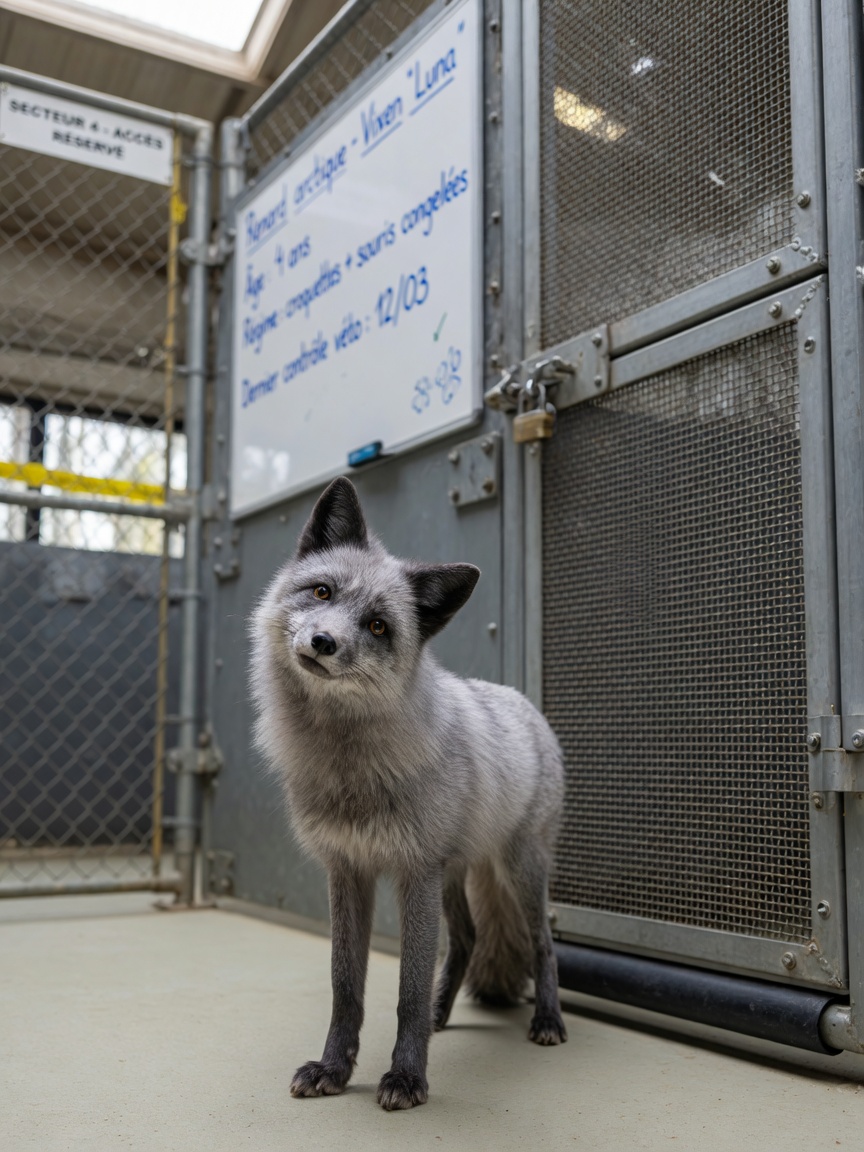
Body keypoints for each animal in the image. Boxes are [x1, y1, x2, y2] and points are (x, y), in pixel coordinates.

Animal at [250, 476, 567, 1111]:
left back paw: (547, 1020)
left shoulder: (411, 872)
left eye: (377, 627)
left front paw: (406, 1077)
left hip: (518, 868)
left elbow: (406, 992)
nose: (323, 641)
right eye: (321, 591)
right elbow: (347, 986)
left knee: (543, 942)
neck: (346, 767)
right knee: (466, 941)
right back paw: (444, 1016)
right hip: (453, 873)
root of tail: (522, 701)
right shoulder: (349, 869)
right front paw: (334, 1068)